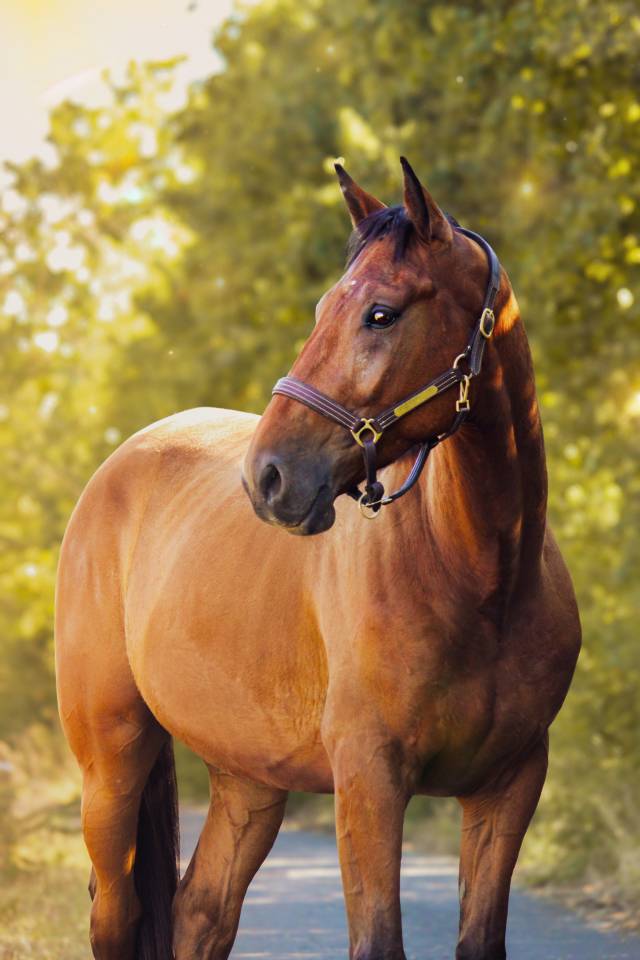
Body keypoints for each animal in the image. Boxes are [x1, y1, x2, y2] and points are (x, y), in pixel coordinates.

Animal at [55, 157, 581, 960]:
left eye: (381, 314)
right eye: (324, 307)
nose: (267, 477)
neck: (480, 580)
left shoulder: (510, 785)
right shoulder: (369, 781)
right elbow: (379, 940)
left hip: (246, 781)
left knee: (200, 913)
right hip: (111, 764)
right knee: (116, 914)